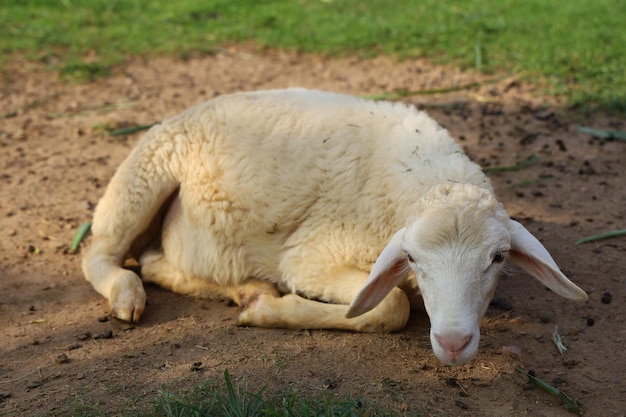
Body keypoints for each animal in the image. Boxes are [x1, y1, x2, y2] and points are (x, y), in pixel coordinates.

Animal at [79, 88, 584, 364]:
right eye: (412, 258)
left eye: (497, 258)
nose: (454, 342)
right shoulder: (311, 257)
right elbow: (391, 306)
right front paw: (272, 312)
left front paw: (260, 304)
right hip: (143, 174)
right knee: (101, 253)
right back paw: (129, 295)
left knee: (152, 259)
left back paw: (243, 288)